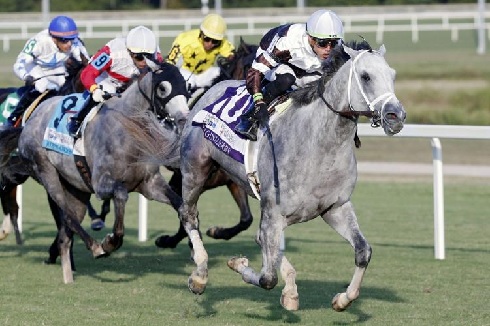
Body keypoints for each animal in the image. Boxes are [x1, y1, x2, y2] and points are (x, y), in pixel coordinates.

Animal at [0, 61, 188, 282]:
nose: (184, 120)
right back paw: (95, 247)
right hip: (46, 172)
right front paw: (110, 241)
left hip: (75, 188)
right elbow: (121, 194)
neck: (127, 128)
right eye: (163, 88)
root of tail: (30, 121)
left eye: (185, 84)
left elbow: (178, 203)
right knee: (67, 217)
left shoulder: (148, 183)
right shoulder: (101, 184)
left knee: (65, 226)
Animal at [165, 42, 406, 312]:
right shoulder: (274, 211)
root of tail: (210, 91)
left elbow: (363, 251)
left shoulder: (335, 207)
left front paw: (342, 299)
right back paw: (199, 274)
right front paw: (238, 264)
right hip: (195, 169)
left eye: (393, 75)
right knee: (188, 213)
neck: (319, 146)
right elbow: (267, 277)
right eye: (365, 76)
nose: (396, 116)